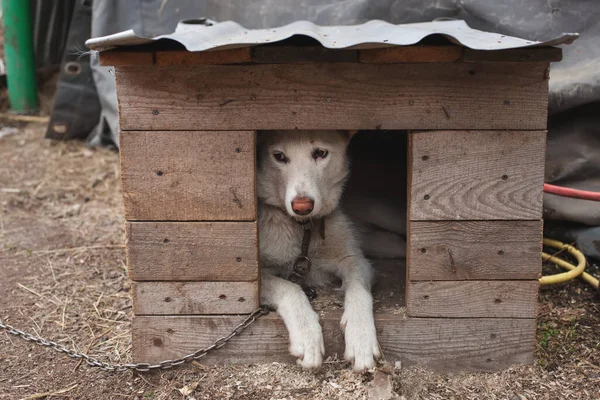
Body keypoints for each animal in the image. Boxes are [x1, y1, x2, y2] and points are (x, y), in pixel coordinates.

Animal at [256, 131, 380, 372]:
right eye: (279, 156)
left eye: (320, 153)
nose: (302, 206)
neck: (303, 230)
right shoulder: (260, 272)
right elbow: (290, 288)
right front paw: (307, 336)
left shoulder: (355, 260)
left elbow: (359, 291)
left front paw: (361, 337)